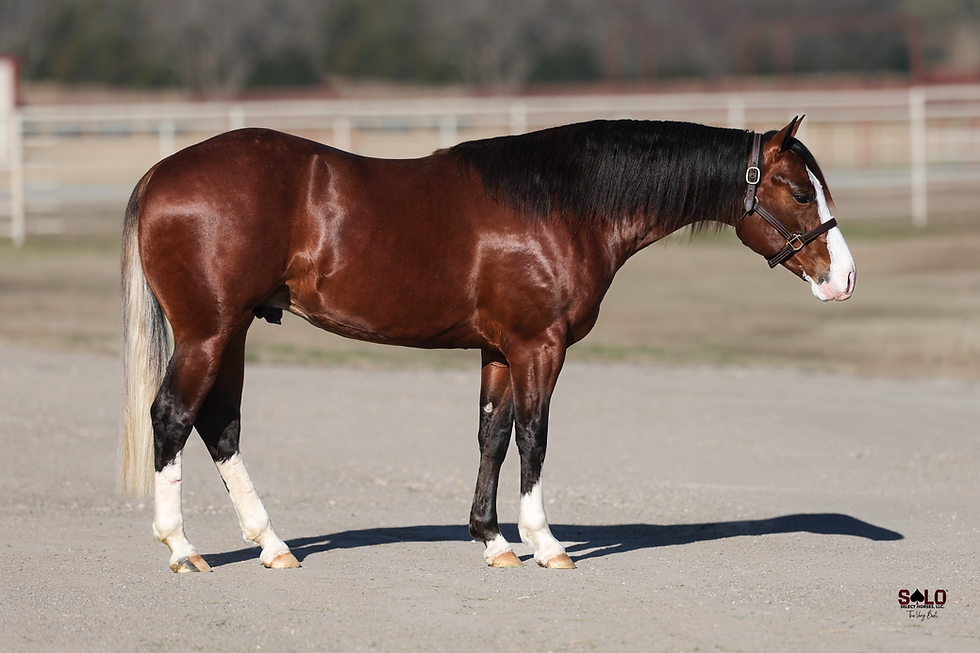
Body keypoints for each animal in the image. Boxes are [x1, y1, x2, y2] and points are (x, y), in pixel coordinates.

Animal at [120, 116, 855, 573]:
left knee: (220, 425)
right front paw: (545, 542)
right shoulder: (539, 347)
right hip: (210, 331)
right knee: (173, 417)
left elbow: (492, 436)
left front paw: (493, 539)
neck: (561, 204)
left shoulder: (500, 351)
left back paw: (272, 544)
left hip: (234, 329)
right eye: (798, 190)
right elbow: (533, 435)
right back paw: (182, 548)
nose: (844, 277)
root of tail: (161, 173)